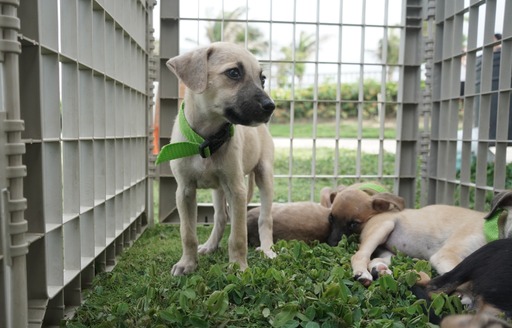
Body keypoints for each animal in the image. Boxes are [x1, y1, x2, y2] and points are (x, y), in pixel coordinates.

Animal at [160, 42, 278, 276]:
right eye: (233, 73)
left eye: (262, 79)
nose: (271, 106)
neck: (207, 139)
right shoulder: (184, 191)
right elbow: (187, 233)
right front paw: (187, 263)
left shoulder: (236, 189)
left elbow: (238, 236)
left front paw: (239, 266)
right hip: (218, 189)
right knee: (221, 217)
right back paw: (211, 245)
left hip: (264, 174)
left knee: (265, 218)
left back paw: (267, 250)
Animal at [328, 191, 488, 286]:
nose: (332, 243)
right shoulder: (447, 255)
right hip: (383, 228)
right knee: (360, 255)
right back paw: (362, 274)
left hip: (392, 253)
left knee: (375, 260)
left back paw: (381, 270)